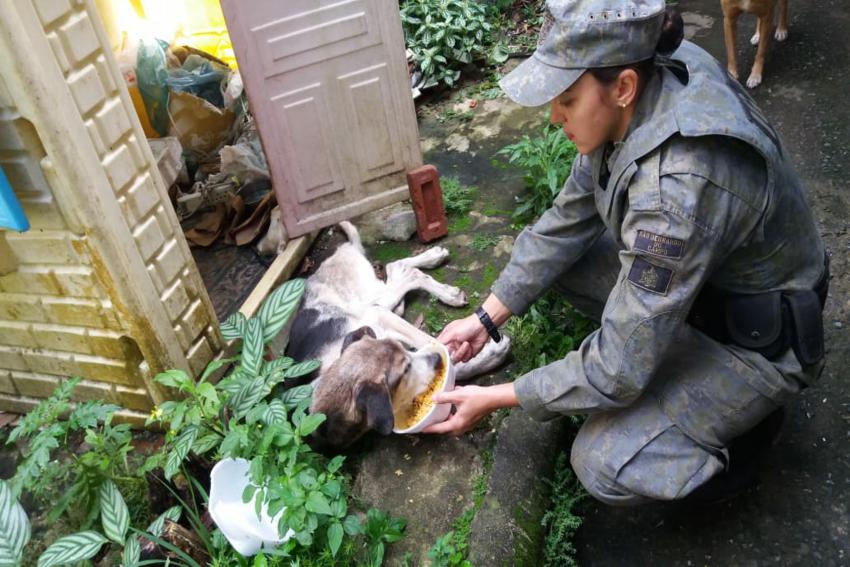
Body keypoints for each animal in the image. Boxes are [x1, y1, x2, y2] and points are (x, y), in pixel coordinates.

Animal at [288, 222, 506, 448]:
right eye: (403, 375)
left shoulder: (378, 319)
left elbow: (438, 346)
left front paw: (488, 354)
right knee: (397, 269)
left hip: (371, 299)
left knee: (407, 273)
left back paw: (444, 284)